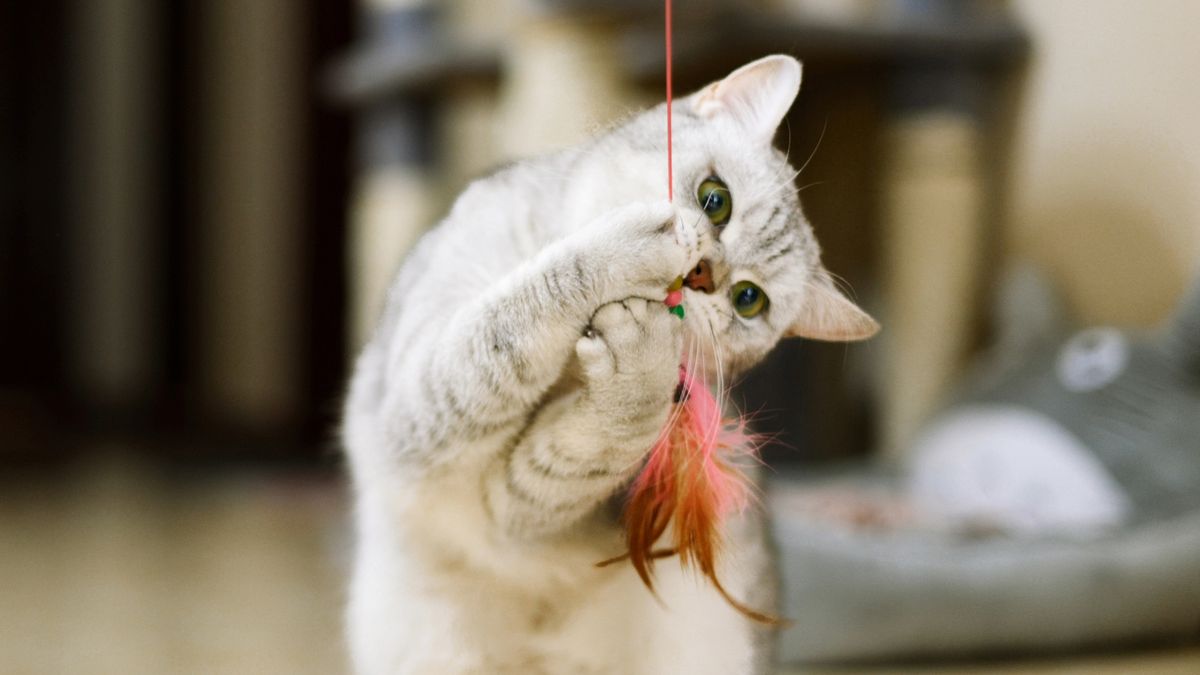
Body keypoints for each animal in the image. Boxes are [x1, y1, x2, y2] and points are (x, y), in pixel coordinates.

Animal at [343, 55, 878, 667]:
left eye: (748, 299)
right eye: (715, 199)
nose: (703, 276)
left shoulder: (518, 509)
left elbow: (594, 438)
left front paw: (638, 369)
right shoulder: (413, 400)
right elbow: (514, 315)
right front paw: (631, 252)